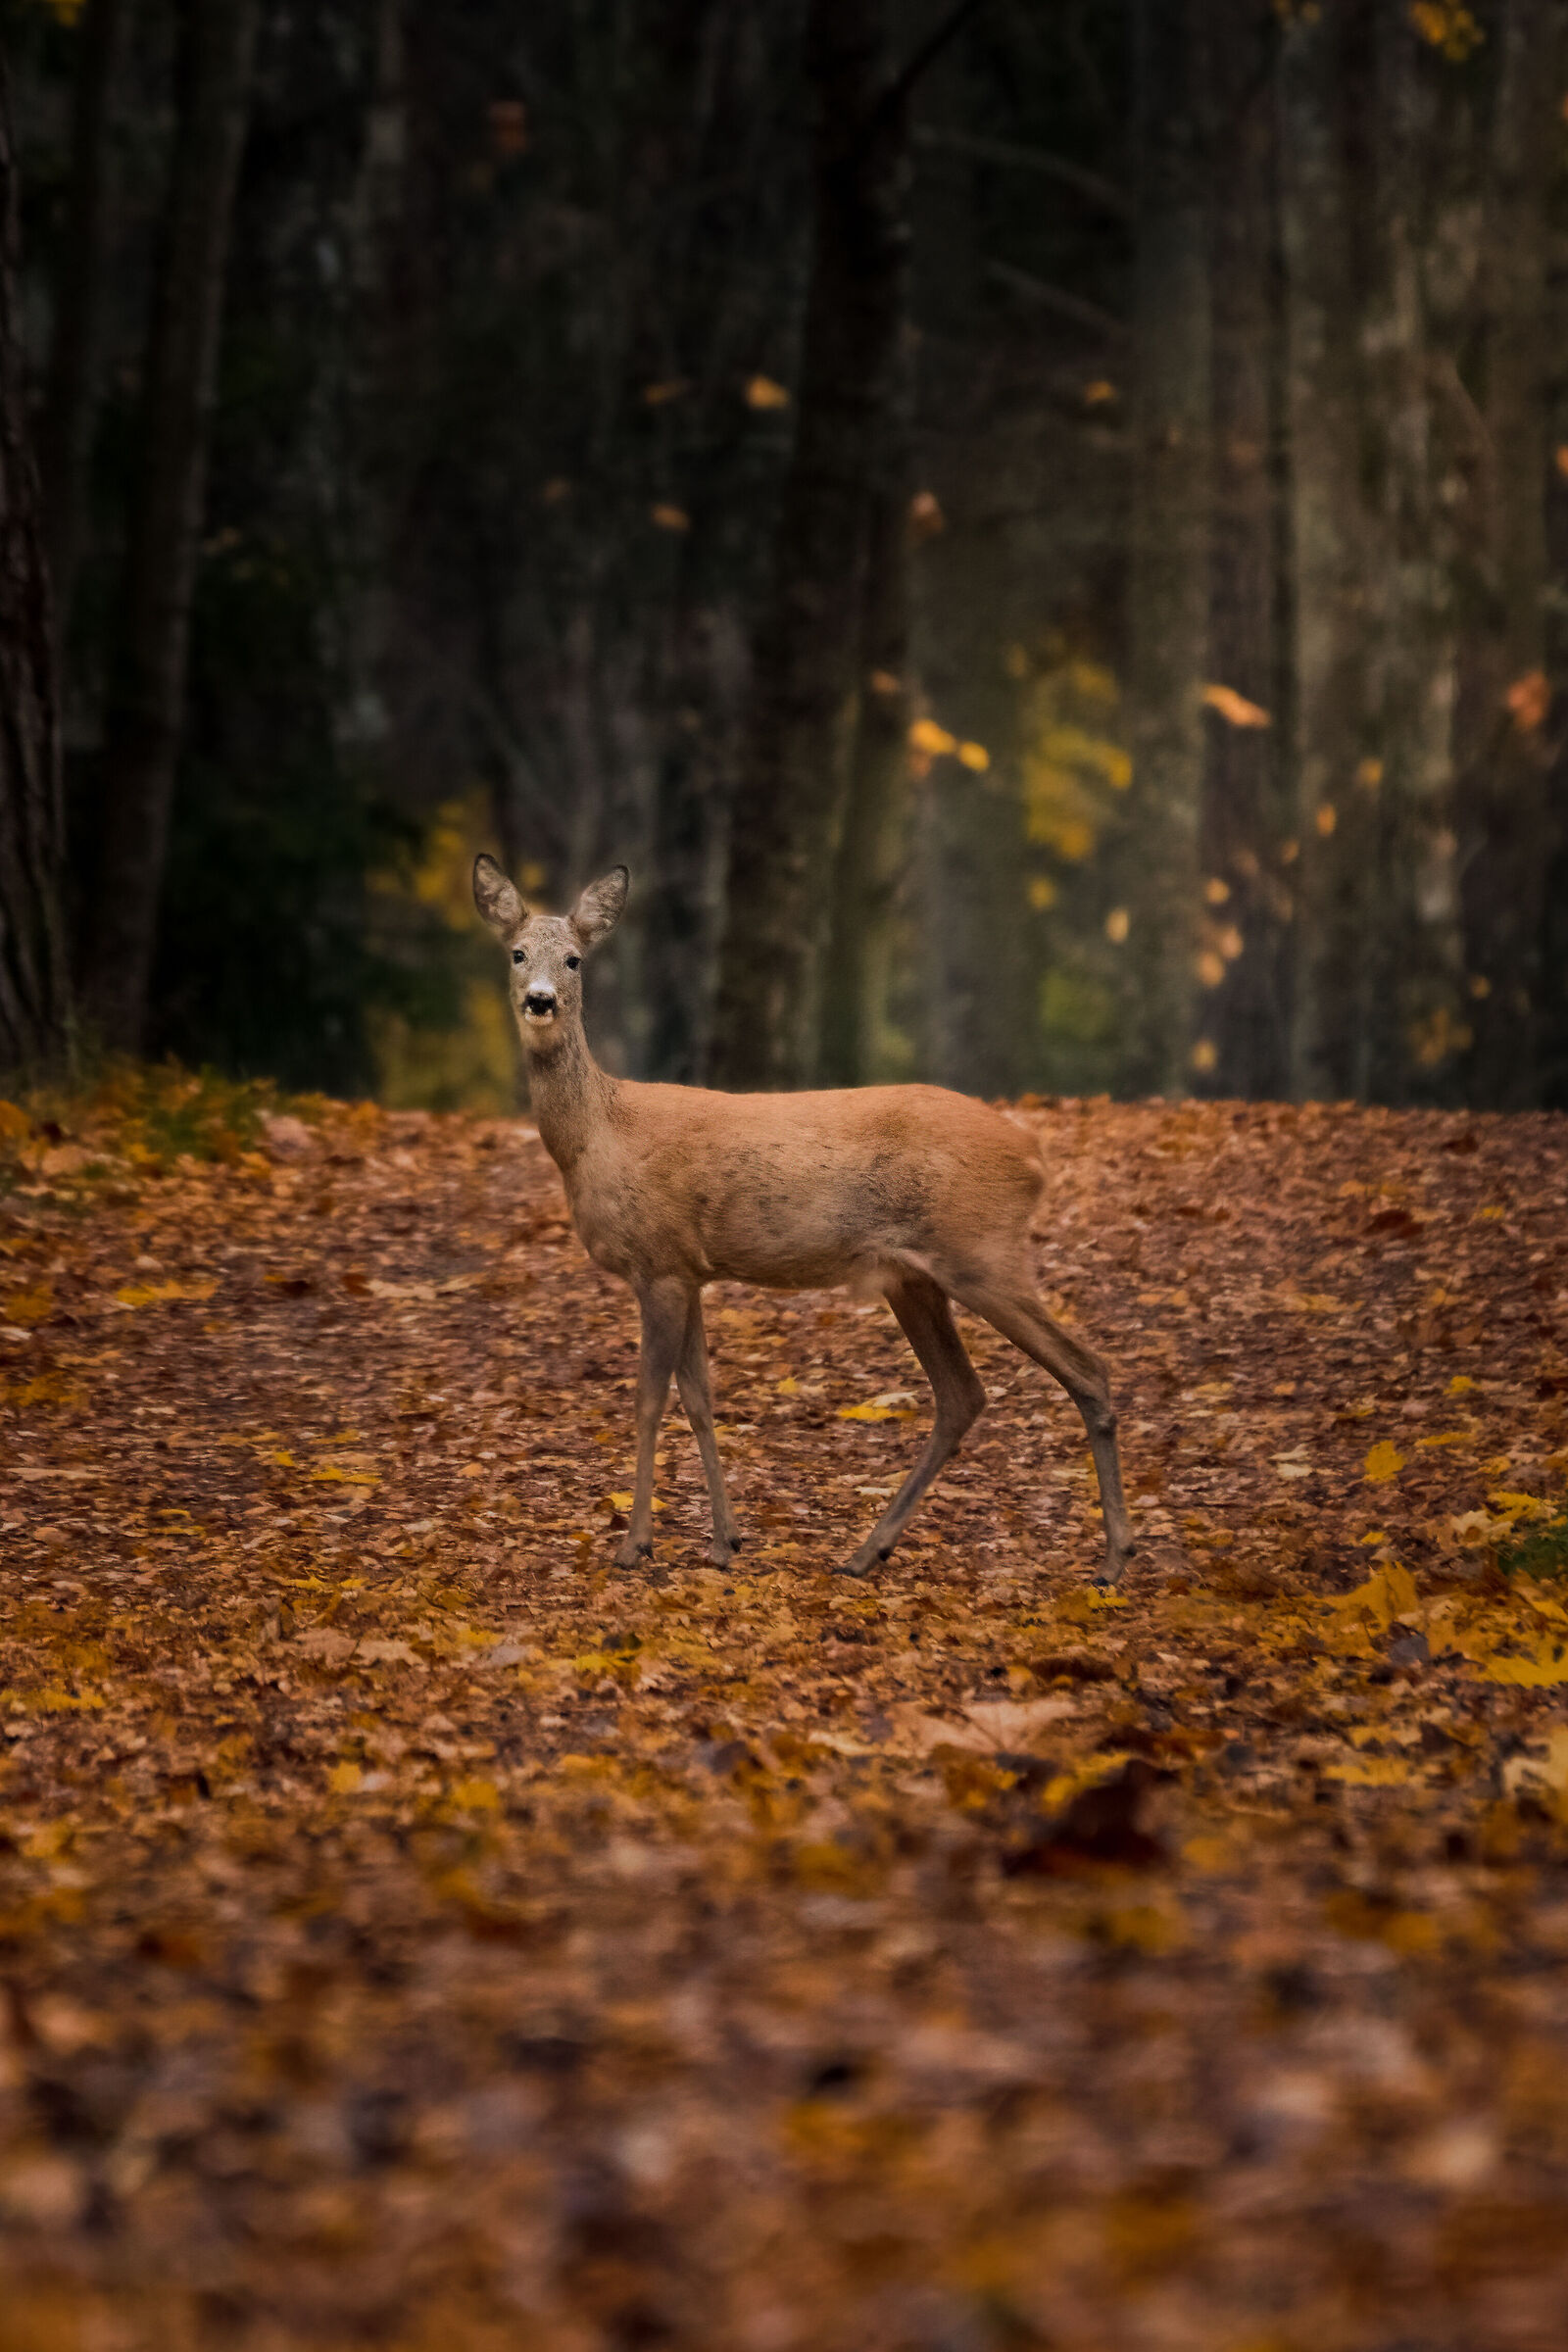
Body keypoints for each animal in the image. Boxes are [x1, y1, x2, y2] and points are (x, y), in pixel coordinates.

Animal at [474, 855, 1135, 1585]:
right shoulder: (690, 1269)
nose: (540, 1000)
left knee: (1087, 1370)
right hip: (914, 1278)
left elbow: (649, 1401)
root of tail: (1033, 1156)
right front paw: (724, 1542)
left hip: (983, 1252)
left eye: (574, 959)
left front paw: (635, 1545)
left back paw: (1113, 1559)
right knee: (962, 1394)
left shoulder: (659, 1263)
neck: (600, 1136)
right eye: (516, 952)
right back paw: (866, 1552)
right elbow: (700, 1398)